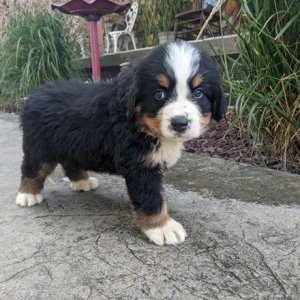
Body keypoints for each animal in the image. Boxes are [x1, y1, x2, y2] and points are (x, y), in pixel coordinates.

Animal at [16, 41, 226, 245]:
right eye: (159, 94)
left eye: (198, 93)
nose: (180, 123)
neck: (139, 123)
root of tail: (34, 93)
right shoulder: (139, 165)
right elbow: (152, 198)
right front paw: (162, 227)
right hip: (39, 148)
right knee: (32, 168)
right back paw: (27, 194)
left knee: (70, 162)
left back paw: (82, 181)